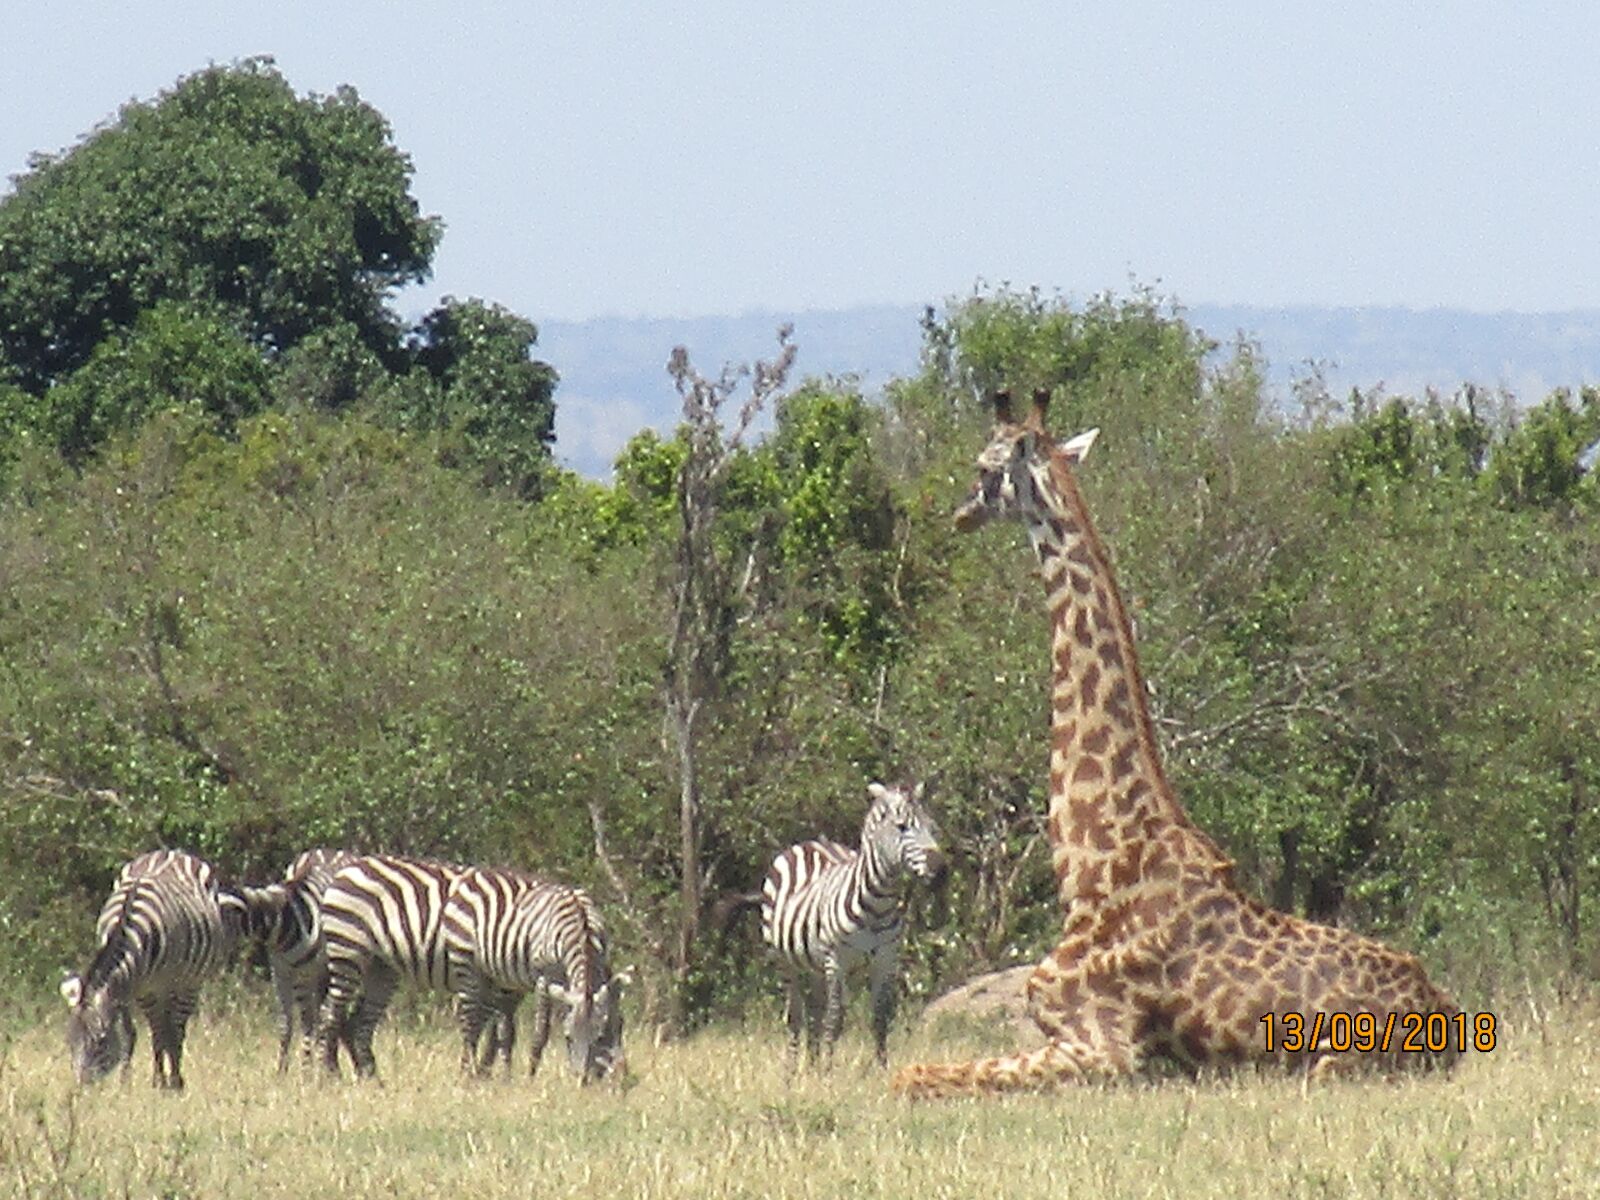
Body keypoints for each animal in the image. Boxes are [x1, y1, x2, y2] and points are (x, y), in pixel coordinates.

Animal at [61, 851, 240, 1094]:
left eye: (100, 1041)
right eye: (69, 1041)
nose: (81, 1091)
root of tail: (171, 852)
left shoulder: (163, 984)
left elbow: (164, 1033)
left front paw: (166, 1083)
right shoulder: (132, 988)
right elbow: (131, 1035)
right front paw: (127, 1083)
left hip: (188, 982)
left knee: (175, 1029)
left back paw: (174, 1080)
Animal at [312, 857, 464, 1081]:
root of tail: (343, 871)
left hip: (381, 968)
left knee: (357, 1021)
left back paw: (369, 1078)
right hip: (348, 950)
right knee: (330, 1014)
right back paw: (327, 1076)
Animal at [451, 870, 630, 1088]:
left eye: (599, 1037)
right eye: (568, 1038)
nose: (582, 1081)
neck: (582, 929)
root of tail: (477, 874)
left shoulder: (600, 967)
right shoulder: (544, 978)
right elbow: (541, 1032)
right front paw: (531, 1075)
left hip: (496, 977)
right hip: (467, 965)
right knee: (470, 1024)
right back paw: (468, 1074)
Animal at [758, 784, 940, 1068]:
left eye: (932, 828)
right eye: (901, 827)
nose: (940, 870)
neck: (877, 905)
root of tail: (810, 843)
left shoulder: (886, 958)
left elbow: (880, 1018)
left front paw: (881, 1069)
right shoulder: (836, 960)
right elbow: (834, 1019)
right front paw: (827, 1072)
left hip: (815, 964)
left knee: (814, 1012)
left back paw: (810, 1068)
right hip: (783, 959)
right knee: (796, 1016)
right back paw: (792, 1073)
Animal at [889, 392, 1465, 1100]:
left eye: (983, 466)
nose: (961, 512)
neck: (1094, 861)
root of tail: (1446, 1013)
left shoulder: (1103, 1047)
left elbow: (912, 1074)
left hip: (1333, 1064)